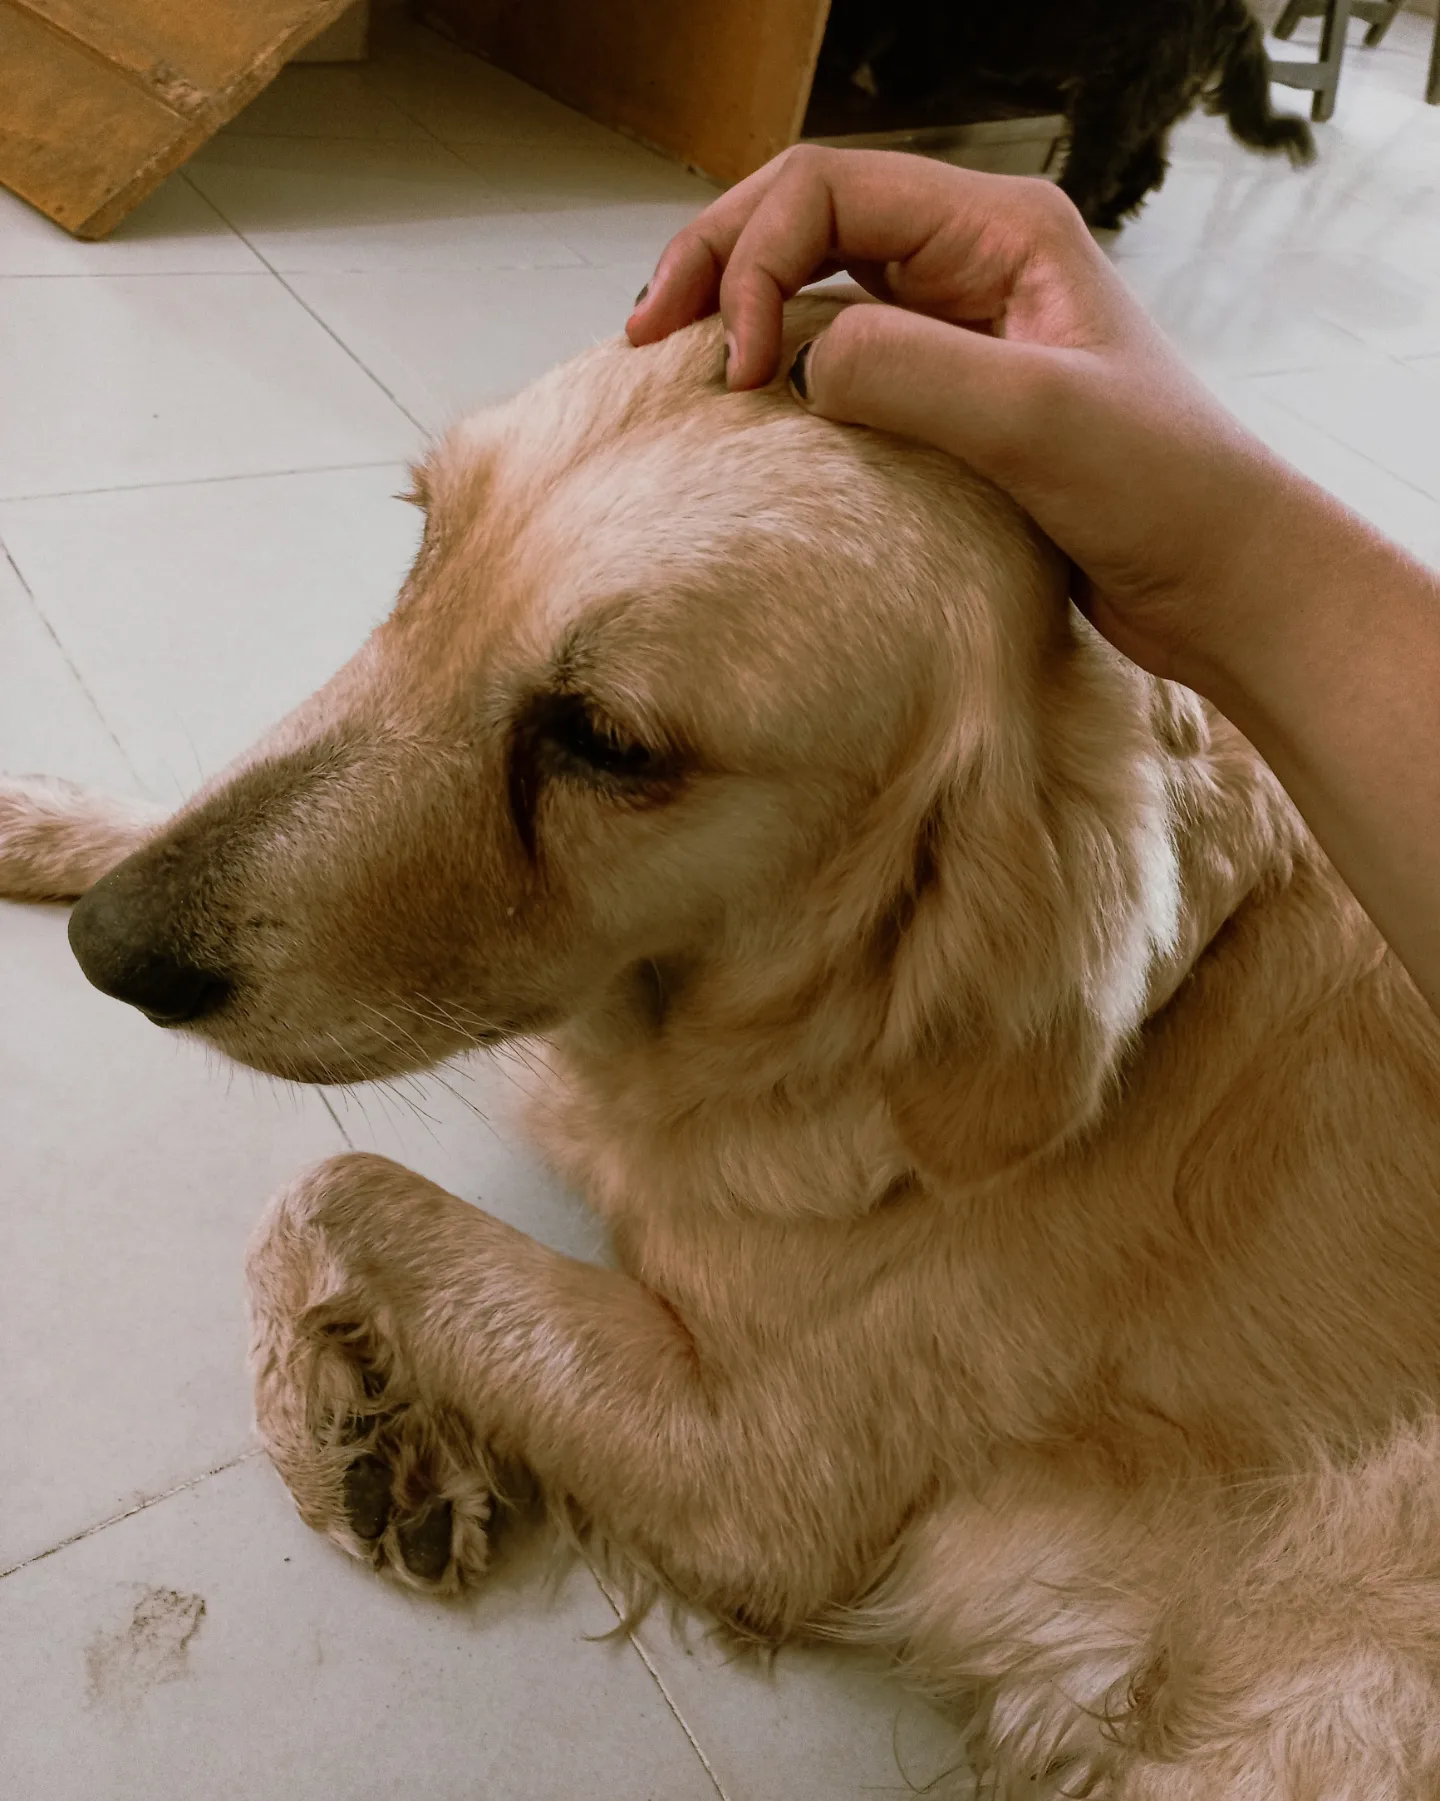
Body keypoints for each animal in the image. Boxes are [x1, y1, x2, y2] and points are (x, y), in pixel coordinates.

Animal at [3, 295, 1439, 1797]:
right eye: (424, 542)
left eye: (606, 742)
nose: (110, 948)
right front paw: (47, 818)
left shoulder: (759, 1473)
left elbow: (342, 1187)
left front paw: (342, 1430)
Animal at [818, 0, 1315, 227]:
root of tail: (1233, 10)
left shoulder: (946, 34)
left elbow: (914, 66)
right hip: (1156, 103)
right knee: (1149, 166)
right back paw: (1111, 214)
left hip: (1118, 94)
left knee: (1095, 171)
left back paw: (1071, 208)